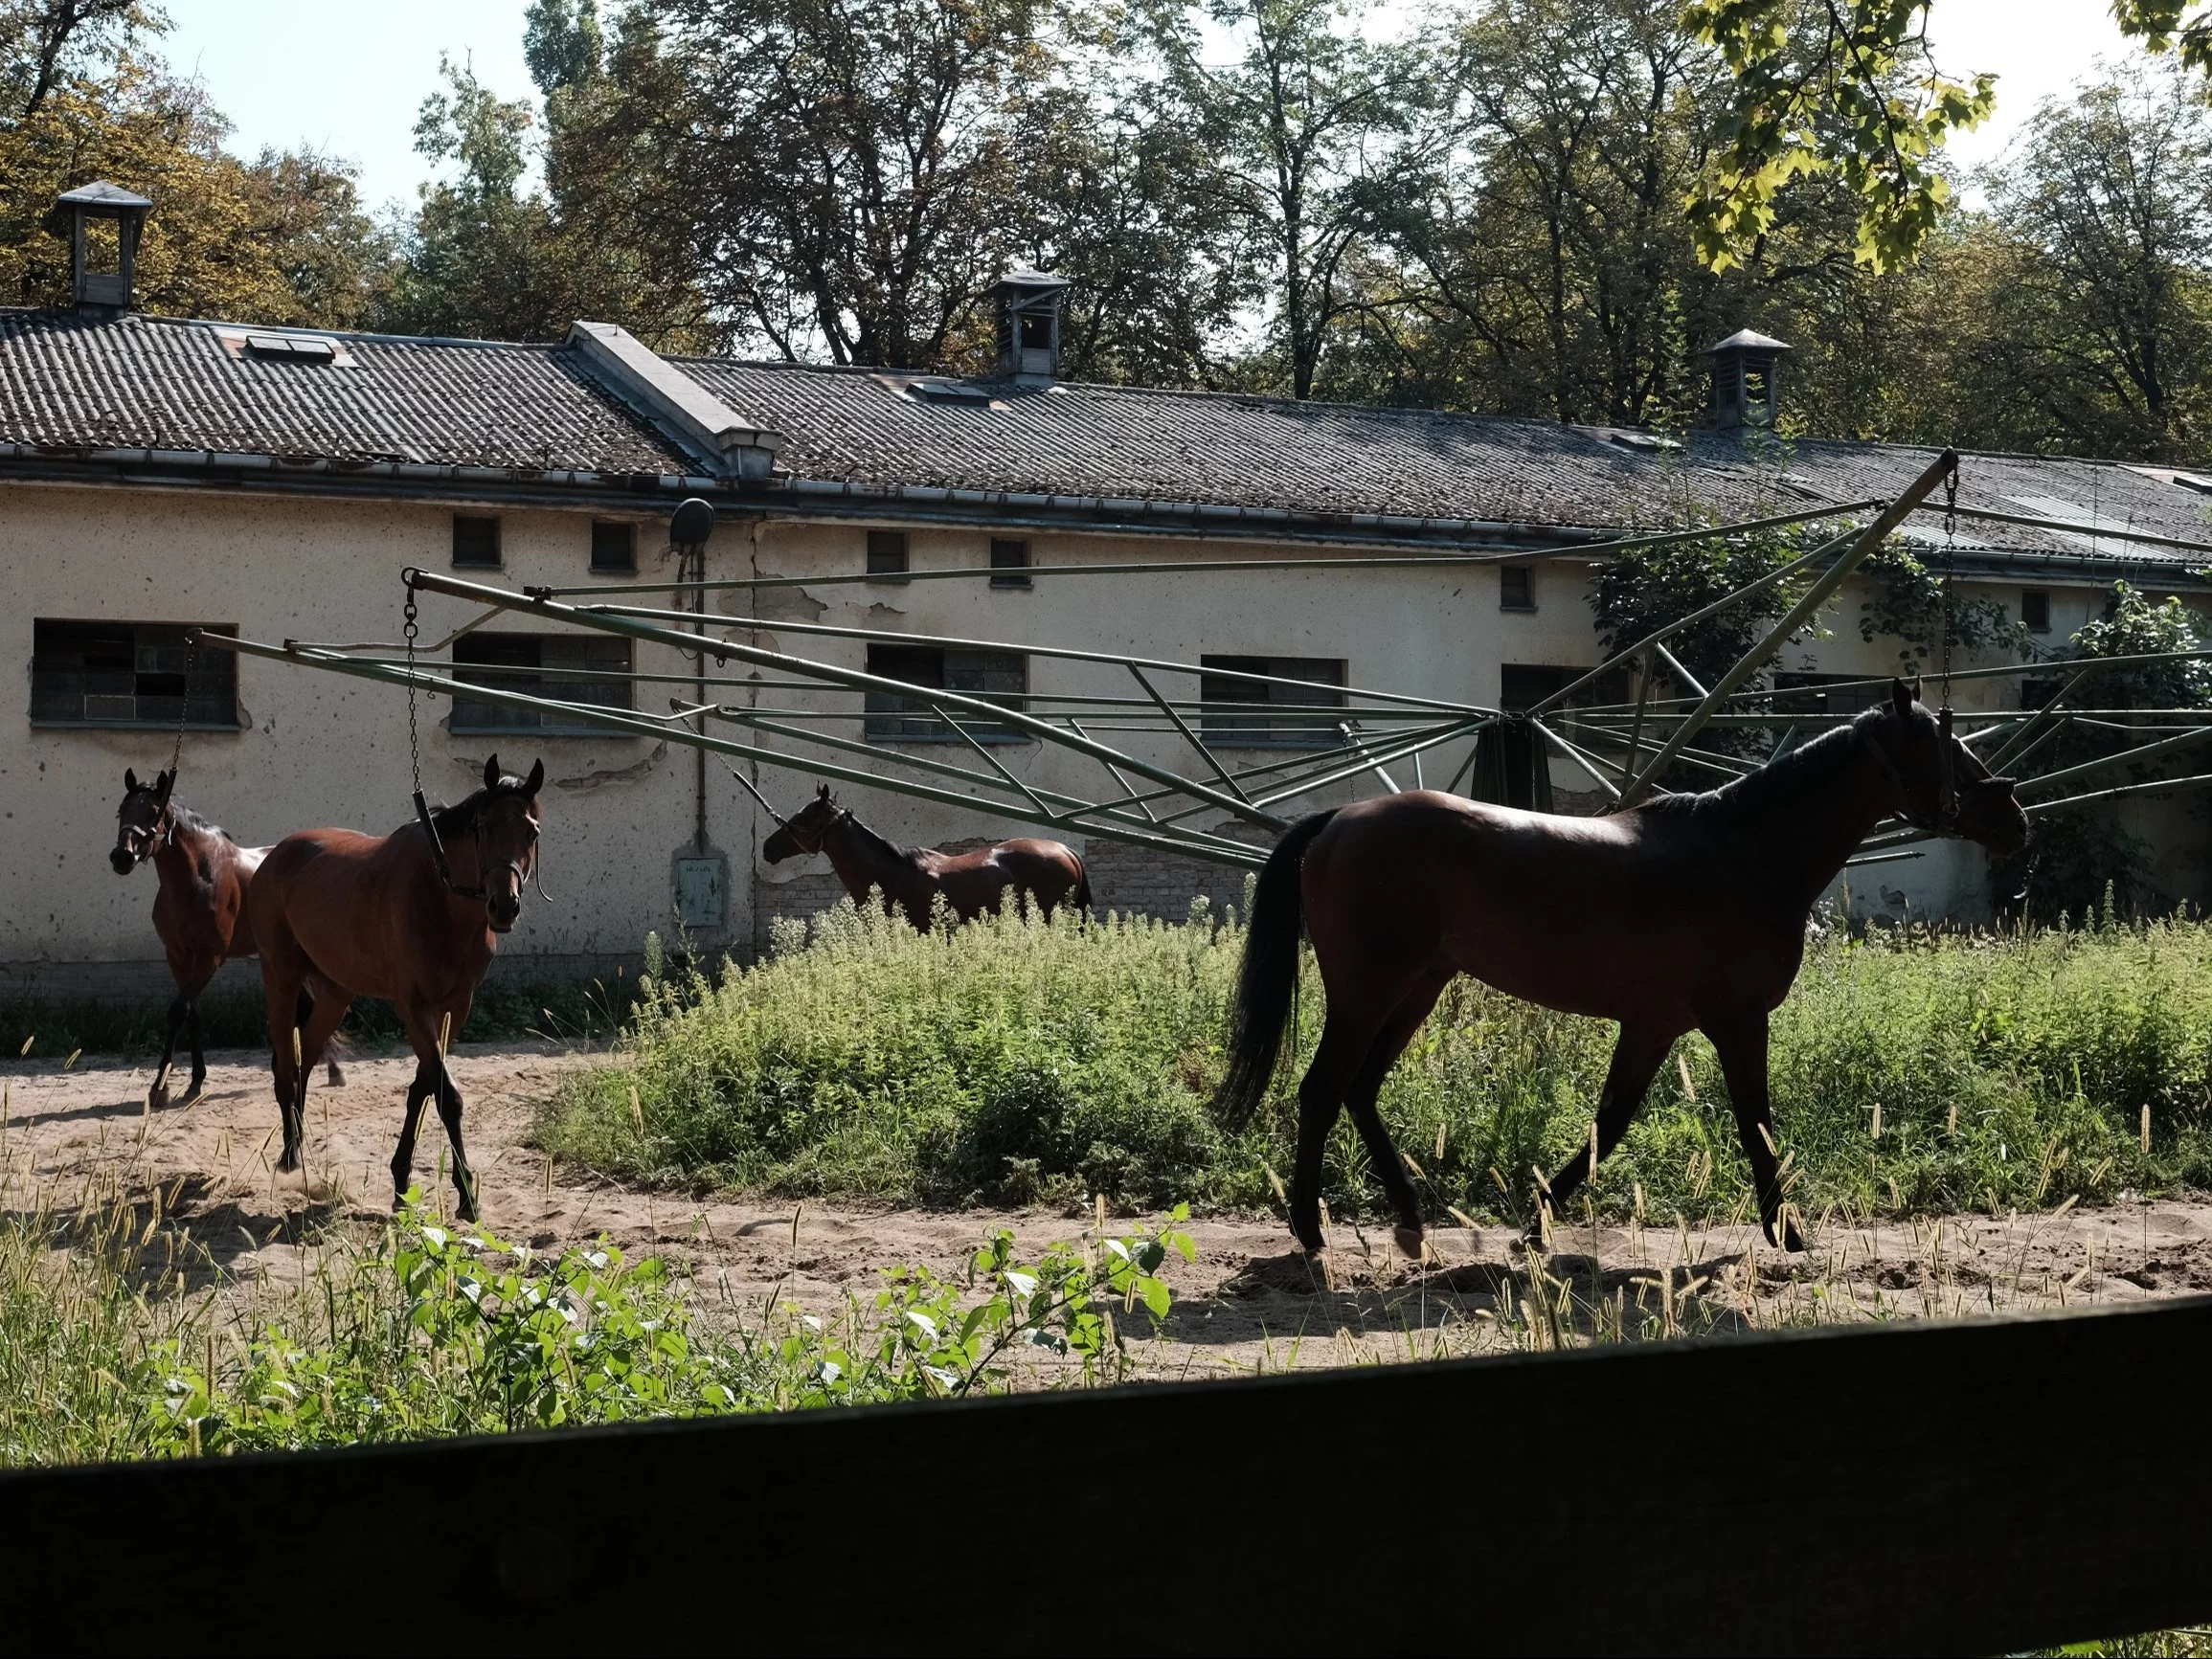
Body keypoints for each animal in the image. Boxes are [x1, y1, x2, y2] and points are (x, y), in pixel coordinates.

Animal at [110, 778, 343, 1119]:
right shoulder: (178, 959)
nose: (122, 857)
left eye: (154, 811)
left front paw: (159, 1088)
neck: (197, 879)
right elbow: (190, 1014)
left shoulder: (210, 959)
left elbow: (177, 1011)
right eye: (121, 810)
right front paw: (194, 1081)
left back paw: (332, 1070)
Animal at [245, 756, 544, 1221]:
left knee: (306, 1058)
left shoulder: (454, 1007)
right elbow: (446, 1096)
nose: (503, 906)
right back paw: (290, 1158)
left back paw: (301, 1151)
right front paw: (466, 1195)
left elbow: (424, 1087)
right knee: (285, 1067)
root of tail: (274, 856)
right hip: (281, 976)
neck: (440, 897)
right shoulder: (413, 1006)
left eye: (531, 832)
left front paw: (402, 1180)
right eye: (482, 827)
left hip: (336, 993)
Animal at [1221, 685, 2025, 1256]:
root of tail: (1337, 820)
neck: (1745, 851)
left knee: (1359, 1091)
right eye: (1947, 745)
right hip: (1369, 991)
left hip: (1416, 987)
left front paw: (1536, 1224)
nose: (2016, 818)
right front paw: (1787, 1230)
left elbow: (1608, 1124)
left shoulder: (1653, 1025)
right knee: (1323, 1090)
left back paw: (1410, 1223)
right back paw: (1310, 1230)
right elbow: (1755, 1121)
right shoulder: (1737, 1020)